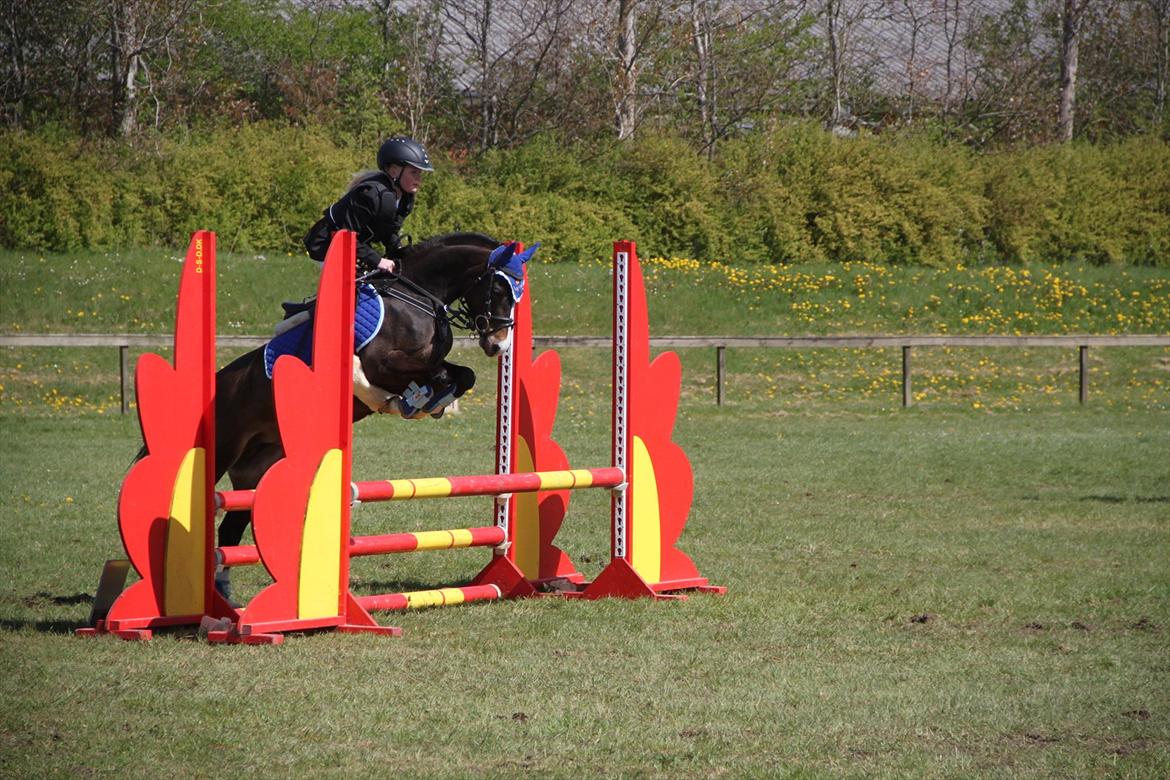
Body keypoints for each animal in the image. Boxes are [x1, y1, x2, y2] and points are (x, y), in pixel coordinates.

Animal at [215, 230, 531, 549]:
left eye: (517, 295)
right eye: (499, 290)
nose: (499, 345)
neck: (418, 298)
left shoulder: (428, 362)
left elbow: (464, 375)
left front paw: (430, 401)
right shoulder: (382, 364)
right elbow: (438, 374)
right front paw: (413, 401)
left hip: (257, 471)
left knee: (230, 529)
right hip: (224, 449)